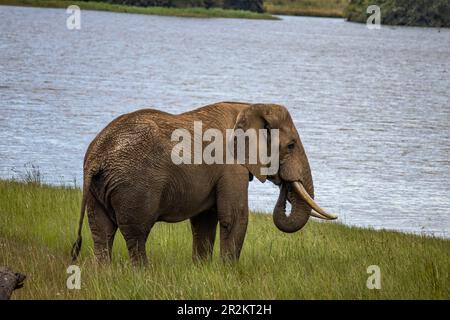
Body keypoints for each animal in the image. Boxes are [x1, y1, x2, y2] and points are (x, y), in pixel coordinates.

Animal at [71, 102, 338, 264]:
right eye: (291, 145)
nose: (283, 183)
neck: (248, 106)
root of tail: (97, 156)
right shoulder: (231, 165)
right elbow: (235, 217)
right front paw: (229, 272)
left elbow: (205, 220)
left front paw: (202, 269)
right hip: (134, 187)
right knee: (136, 234)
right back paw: (142, 274)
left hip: (97, 189)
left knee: (101, 231)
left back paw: (104, 273)